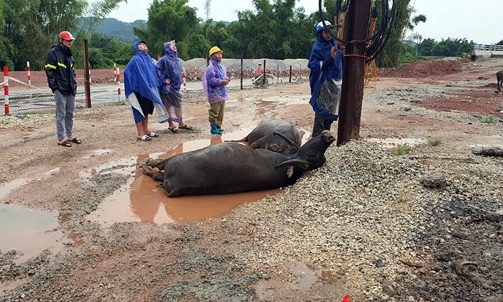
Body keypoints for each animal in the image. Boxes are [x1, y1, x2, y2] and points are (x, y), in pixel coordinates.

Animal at [142, 130, 336, 197]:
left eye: (312, 156)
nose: (328, 136)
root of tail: (174, 189)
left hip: (172, 163)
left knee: (159, 169)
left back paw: (146, 166)